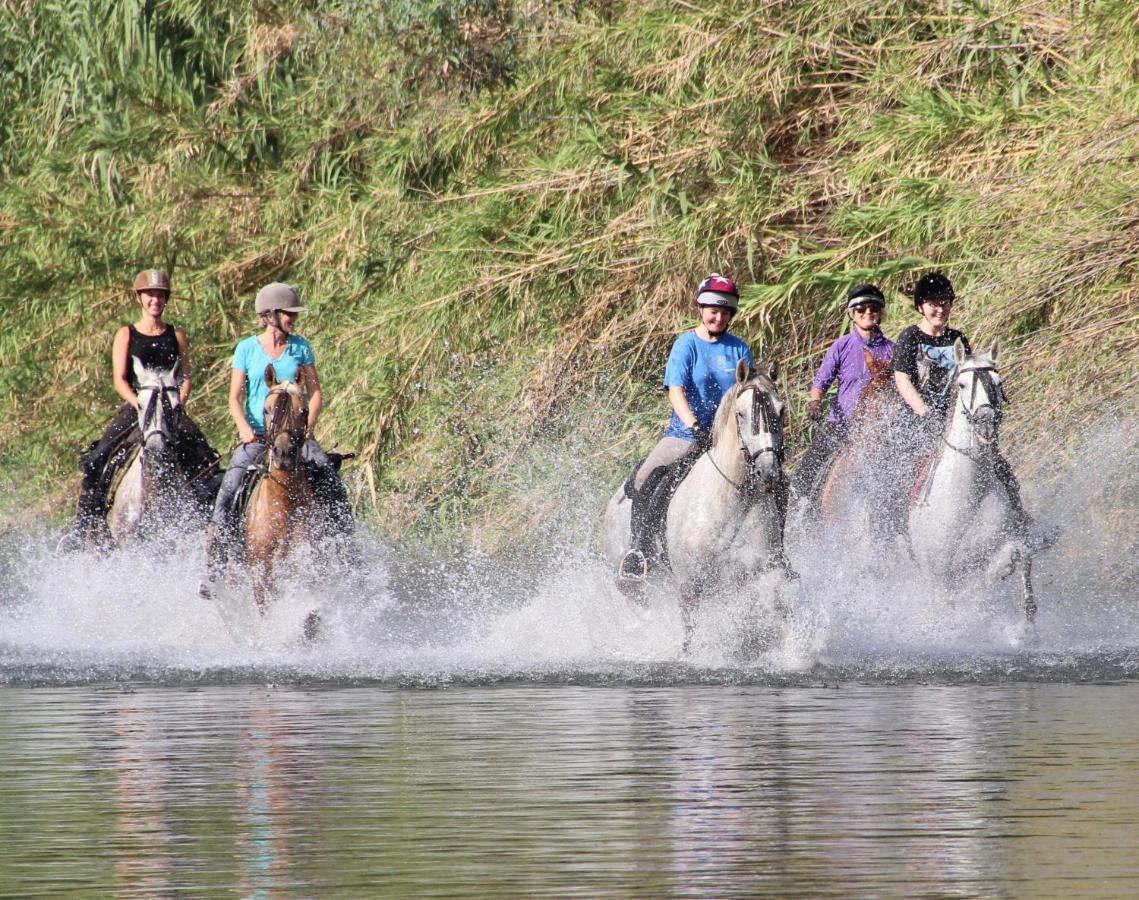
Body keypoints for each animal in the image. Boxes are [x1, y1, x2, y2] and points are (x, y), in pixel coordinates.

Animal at [605, 362, 792, 651]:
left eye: (780, 410)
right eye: (741, 413)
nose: (768, 473)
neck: (731, 501)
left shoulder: (768, 572)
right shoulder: (690, 588)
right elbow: (692, 637)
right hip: (635, 585)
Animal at [906, 341, 1043, 624]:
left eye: (998, 382)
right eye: (961, 384)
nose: (986, 424)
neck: (968, 495)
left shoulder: (1006, 540)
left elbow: (1020, 562)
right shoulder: (940, 576)